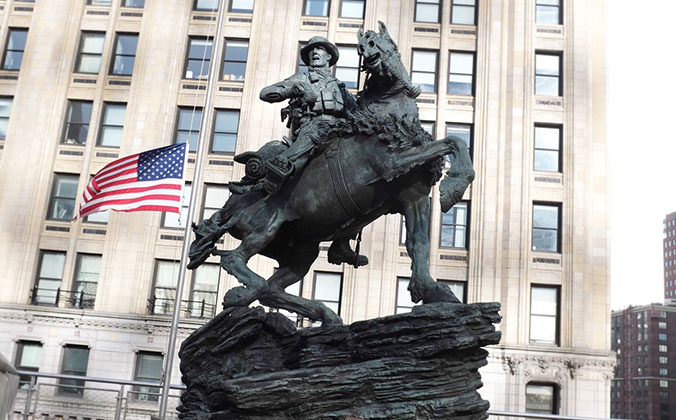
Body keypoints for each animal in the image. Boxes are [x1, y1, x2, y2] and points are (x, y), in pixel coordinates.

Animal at [187, 22, 476, 324]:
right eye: (363, 46)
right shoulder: (392, 163)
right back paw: (250, 291)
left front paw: (432, 290)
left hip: (301, 249)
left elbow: (418, 243)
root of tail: (232, 204)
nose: (370, 55)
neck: (387, 117)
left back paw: (323, 314)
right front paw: (453, 188)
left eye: (386, 43)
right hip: (265, 228)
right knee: (236, 262)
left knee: (272, 289)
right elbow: (452, 141)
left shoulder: (414, 197)